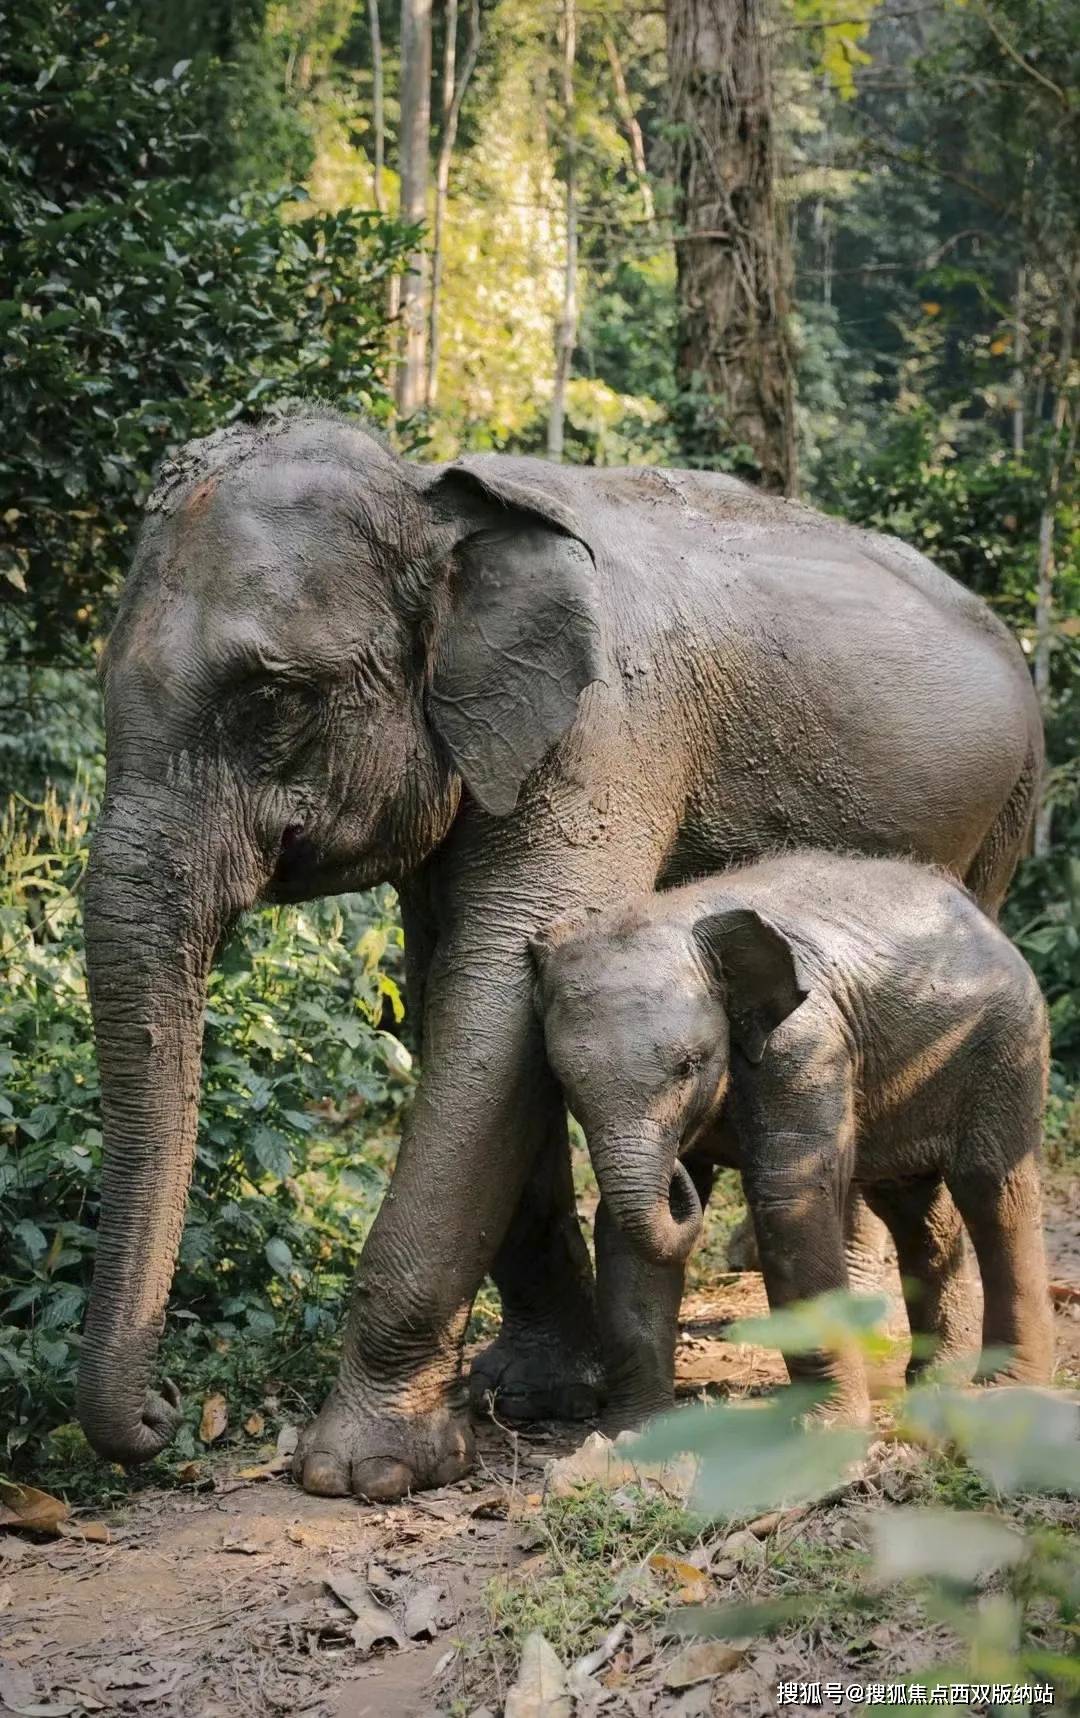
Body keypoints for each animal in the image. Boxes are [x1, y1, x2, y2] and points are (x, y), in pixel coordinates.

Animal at [532, 852, 1050, 1429]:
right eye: (565, 1081)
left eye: (689, 1065)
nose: (679, 1168)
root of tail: (978, 912)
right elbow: (620, 1231)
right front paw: (632, 1434)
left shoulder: (806, 1043)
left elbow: (789, 1200)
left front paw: (826, 1428)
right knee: (915, 1209)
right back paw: (937, 1384)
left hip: (1005, 1045)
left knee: (991, 1190)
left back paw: (1005, 1389)